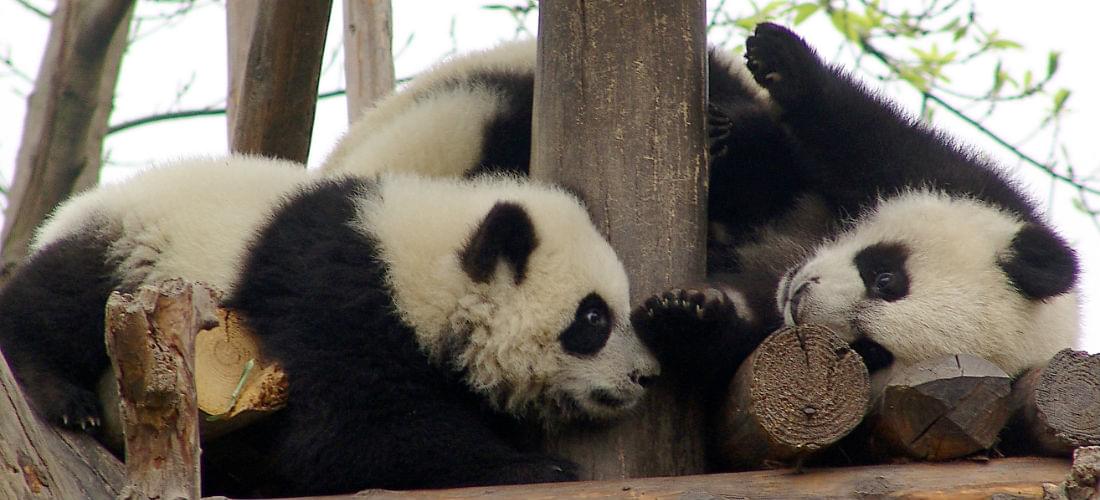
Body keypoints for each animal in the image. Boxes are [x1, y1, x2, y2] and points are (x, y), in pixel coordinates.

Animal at [0, 157, 651, 496]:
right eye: (593, 319)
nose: (647, 375)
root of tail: (69, 210)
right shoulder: (336, 298)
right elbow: (347, 435)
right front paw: (532, 466)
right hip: (138, 251)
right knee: (60, 298)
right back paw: (65, 399)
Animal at [321, 23, 1078, 393]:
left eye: (870, 351)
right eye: (887, 273)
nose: (801, 298)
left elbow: (732, 348)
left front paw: (694, 316)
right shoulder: (964, 180)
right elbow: (845, 135)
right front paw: (777, 73)